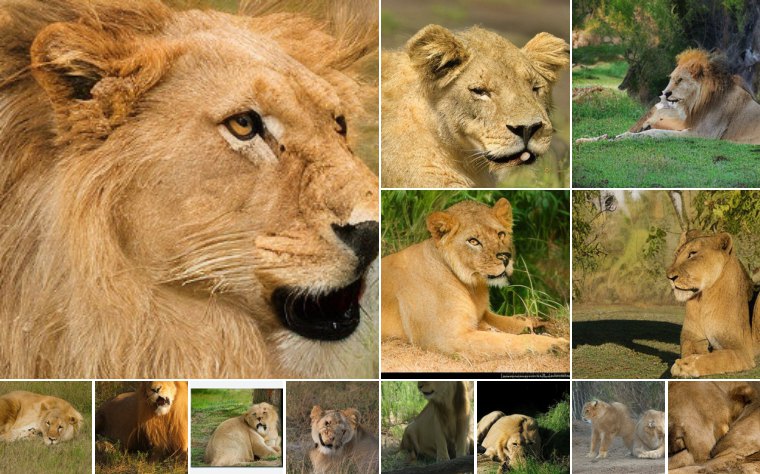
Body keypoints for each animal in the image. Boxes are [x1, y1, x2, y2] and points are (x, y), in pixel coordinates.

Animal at [381, 198, 569, 362]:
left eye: (501, 234)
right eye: (473, 241)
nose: (505, 257)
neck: (473, 287)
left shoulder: (482, 314)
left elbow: (507, 321)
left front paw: (535, 323)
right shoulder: (448, 338)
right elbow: (509, 340)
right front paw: (555, 344)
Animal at [667, 230, 759, 377]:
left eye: (693, 254)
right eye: (676, 254)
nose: (669, 277)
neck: (704, 301)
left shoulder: (742, 351)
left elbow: (715, 358)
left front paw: (685, 365)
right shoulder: (692, 339)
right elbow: (693, 351)